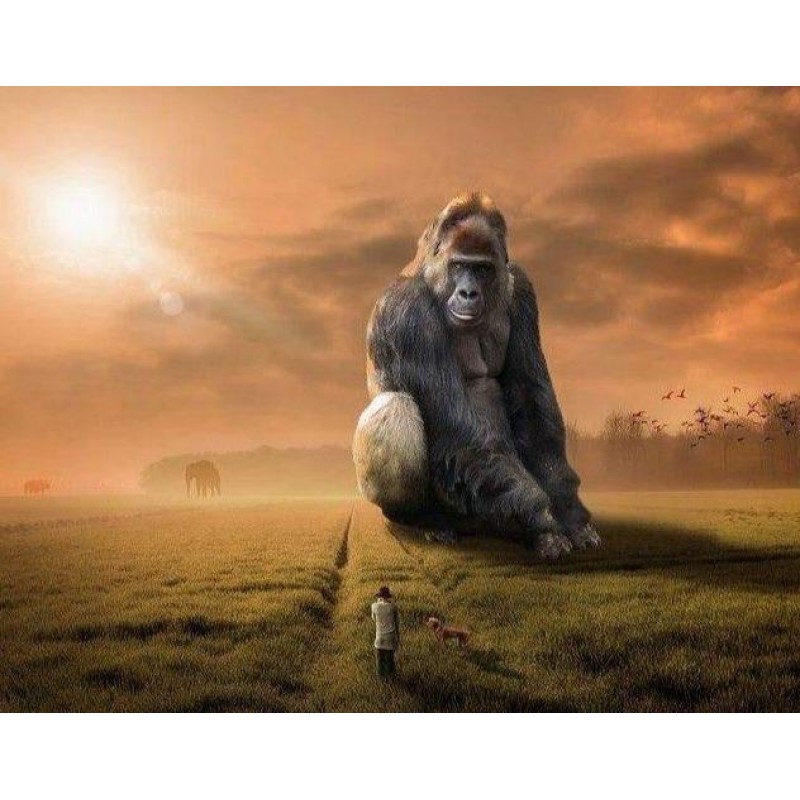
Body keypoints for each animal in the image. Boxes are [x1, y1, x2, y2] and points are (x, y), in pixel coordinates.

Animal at [352, 192, 599, 559]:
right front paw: (540, 516)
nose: (468, 293)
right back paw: (421, 519)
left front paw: (569, 512)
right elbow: (456, 429)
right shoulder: (406, 311)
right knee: (395, 407)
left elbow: (530, 403)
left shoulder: (521, 288)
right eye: (459, 265)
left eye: (481, 269)